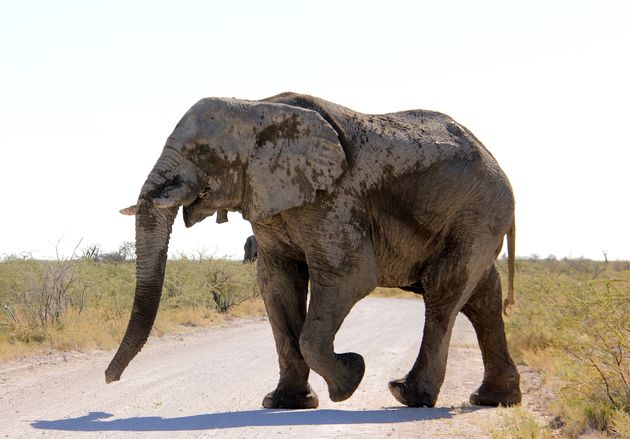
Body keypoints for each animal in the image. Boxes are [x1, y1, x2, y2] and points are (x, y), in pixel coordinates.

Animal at [107, 91, 524, 410]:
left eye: (204, 153)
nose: (110, 379)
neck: (258, 107)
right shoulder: (271, 198)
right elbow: (277, 283)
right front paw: (284, 403)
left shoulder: (335, 196)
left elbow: (349, 277)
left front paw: (351, 378)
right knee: (482, 297)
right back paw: (494, 400)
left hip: (479, 212)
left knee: (444, 290)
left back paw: (408, 396)